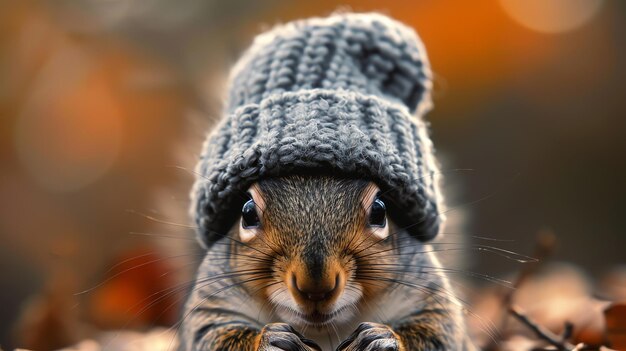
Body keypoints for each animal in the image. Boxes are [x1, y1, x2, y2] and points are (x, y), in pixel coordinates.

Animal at [180, 12, 472, 351]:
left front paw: (383, 336)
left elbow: (438, 331)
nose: (315, 287)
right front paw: (270, 339)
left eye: (380, 211)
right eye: (247, 213)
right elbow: (212, 336)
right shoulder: (212, 304)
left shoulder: (427, 293)